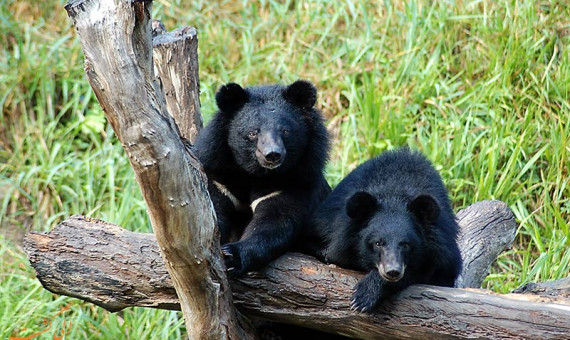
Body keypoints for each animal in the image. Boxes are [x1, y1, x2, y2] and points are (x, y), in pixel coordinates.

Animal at [194, 81, 328, 276]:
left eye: (285, 131)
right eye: (252, 133)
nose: (272, 155)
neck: (256, 174)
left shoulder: (295, 182)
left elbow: (274, 223)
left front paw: (232, 256)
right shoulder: (219, 176)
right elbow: (212, 214)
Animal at [304, 147, 460, 312]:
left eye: (406, 244)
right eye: (378, 243)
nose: (392, 271)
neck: (394, 192)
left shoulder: (443, 248)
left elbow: (427, 270)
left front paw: (363, 296)